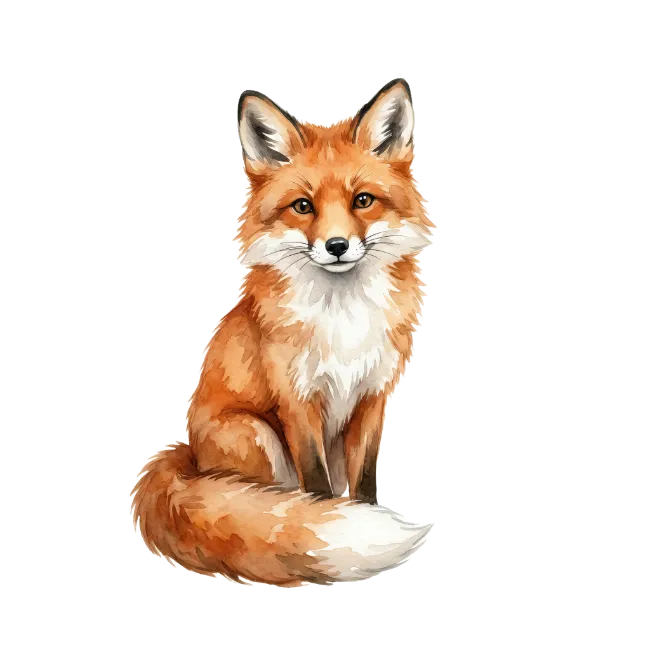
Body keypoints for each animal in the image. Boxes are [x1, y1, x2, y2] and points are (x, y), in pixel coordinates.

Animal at [130, 78, 436, 587]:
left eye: (362, 200)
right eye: (303, 207)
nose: (337, 246)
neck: (343, 318)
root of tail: (187, 456)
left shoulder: (373, 397)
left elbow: (365, 481)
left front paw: (367, 520)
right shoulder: (297, 400)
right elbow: (316, 489)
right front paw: (328, 526)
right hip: (254, 434)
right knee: (266, 500)